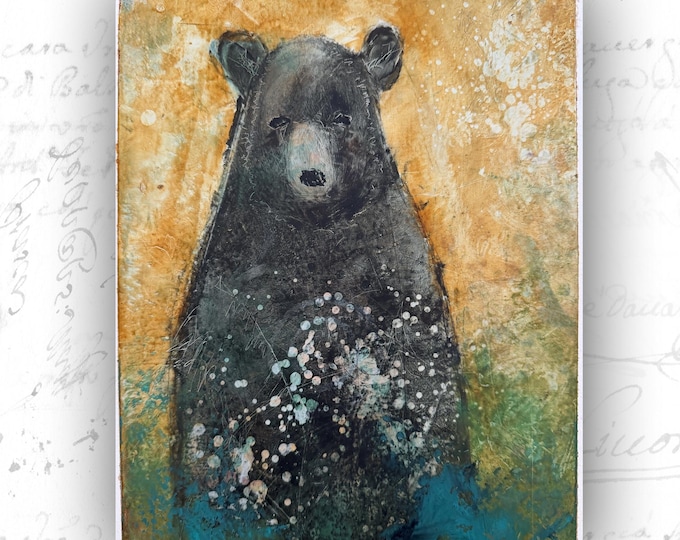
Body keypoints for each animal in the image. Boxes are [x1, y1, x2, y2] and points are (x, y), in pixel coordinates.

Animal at [171, 24, 470, 539]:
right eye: (278, 120)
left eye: (340, 117)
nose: (311, 174)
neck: (314, 234)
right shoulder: (233, 287)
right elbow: (223, 389)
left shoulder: (395, 270)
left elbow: (421, 376)